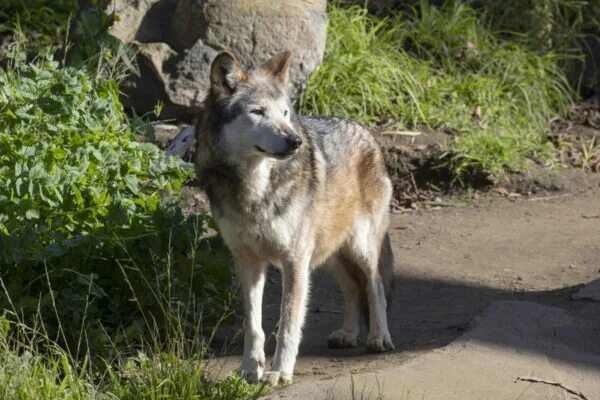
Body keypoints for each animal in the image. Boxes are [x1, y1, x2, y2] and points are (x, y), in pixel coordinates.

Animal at [195, 51, 396, 386]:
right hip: (327, 256)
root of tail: (366, 132)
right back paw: (348, 334)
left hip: (359, 249)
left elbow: (288, 324)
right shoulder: (248, 261)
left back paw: (379, 339)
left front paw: (279, 371)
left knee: (375, 286)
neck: (254, 190)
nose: (295, 141)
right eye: (258, 112)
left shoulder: (293, 262)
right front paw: (249, 369)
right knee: (352, 288)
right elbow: (254, 325)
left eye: (286, 112)